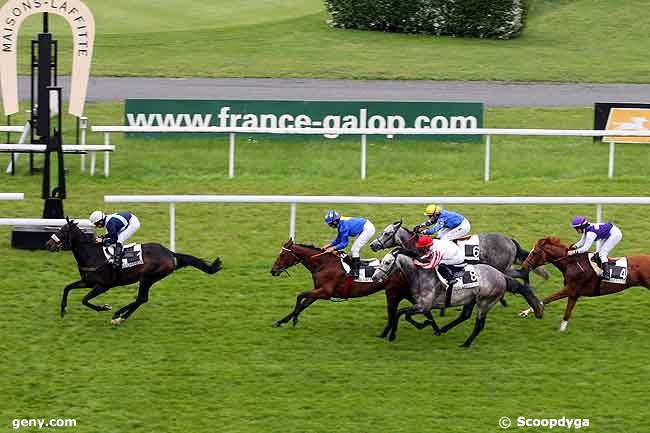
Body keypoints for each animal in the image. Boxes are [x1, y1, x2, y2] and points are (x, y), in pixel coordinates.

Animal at [46, 219, 223, 324]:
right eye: (58, 228)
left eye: (63, 231)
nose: (48, 244)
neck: (92, 255)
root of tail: (170, 253)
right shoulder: (87, 281)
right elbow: (67, 288)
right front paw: (63, 310)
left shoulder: (103, 285)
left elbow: (84, 300)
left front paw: (105, 307)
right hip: (149, 278)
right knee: (141, 299)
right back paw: (121, 316)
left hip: (147, 277)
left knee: (141, 298)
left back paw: (119, 315)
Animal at [268, 238, 440, 332]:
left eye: (282, 255)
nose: (273, 271)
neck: (323, 264)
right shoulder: (319, 291)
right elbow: (303, 303)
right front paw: (281, 321)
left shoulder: (325, 292)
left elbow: (300, 296)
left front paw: (294, 320)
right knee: (425, 309)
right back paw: (434, 328)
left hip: (399, 292)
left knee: (424, 308)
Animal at [370, 248, 540, 346]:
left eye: (387, 262)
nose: (375, 277)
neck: (421, 274)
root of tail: (502, 276)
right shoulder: (421, 305)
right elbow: (404, 314)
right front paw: (426, 324)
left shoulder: (423, 305)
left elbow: (401, 313)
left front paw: (393, 335)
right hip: (471, 300)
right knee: (464, 316)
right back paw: (442, 330)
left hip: (485, 302)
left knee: (479, 325)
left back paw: (465, 344)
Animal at [520, 236, 650, 330]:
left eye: (534, 253)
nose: (524, 265)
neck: (572, 264)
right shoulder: (574, 294)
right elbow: (567, 313)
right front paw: (561, 331)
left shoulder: (571, 289)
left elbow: (547, 298)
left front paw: (527, 311)